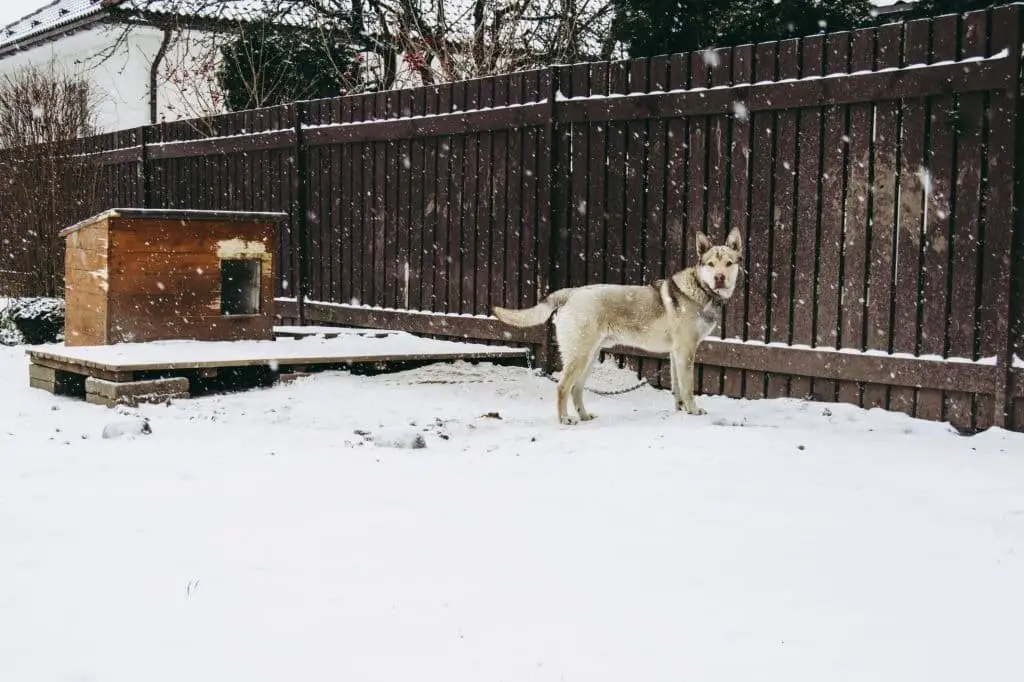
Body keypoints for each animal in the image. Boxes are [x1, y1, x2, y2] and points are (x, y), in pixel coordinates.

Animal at [491, 225, 741, 421]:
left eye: (729, 263)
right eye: (710, 264)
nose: (720, 278)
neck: (701, 289)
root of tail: (569, 293)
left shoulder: (675, 354)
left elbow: (677, 388)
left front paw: (681, 411)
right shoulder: (685, 351)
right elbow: (688, 387)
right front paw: (694, 410)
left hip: (589, 357)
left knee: (576, 390)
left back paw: (584, 416)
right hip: (580, 356)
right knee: (562, 387)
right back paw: (565, 419)